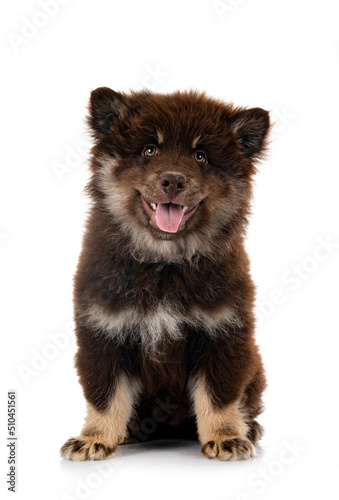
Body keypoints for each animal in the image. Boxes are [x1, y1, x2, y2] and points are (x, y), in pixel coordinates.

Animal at [59, 88, 270, 462]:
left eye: (201, 156)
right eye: (149, 150)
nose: (173, 180)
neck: (164, 263)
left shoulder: (223, 333)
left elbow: (218, 395)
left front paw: (226, 436)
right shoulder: (104, 332)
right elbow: (105, 396)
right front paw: (95, 438)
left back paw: (251, 427)